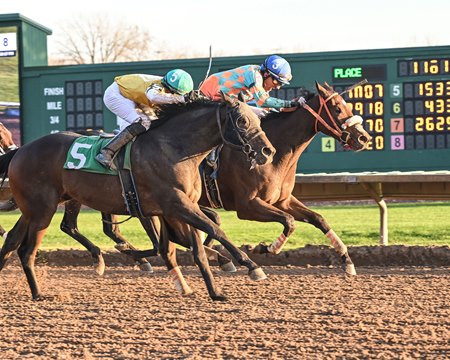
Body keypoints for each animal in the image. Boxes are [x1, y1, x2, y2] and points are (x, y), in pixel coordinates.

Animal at [0, 94, 274, 302]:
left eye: (255, 119)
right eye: (241, 120)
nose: (267, 151)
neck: (175, 148)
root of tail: (20, 150)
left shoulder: (179, 208)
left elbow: (195, 249)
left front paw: (215, 292)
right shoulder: (177, 205)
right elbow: (214, 230)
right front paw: (252, 266)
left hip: (35, 209)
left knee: (12, 241)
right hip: (43, 210)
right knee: (27, 250)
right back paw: (39, 294)